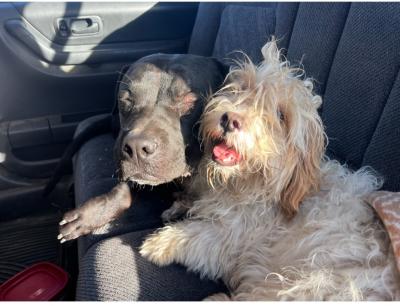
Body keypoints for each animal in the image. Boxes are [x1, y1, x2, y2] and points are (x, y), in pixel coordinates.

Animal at [139, 39, 398, 300]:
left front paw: (159, 242)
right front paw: (179, 204)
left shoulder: (233, 238)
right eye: (241, 89)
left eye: (281, 116)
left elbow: (197, 235)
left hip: (306, 285)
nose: (230, 119)